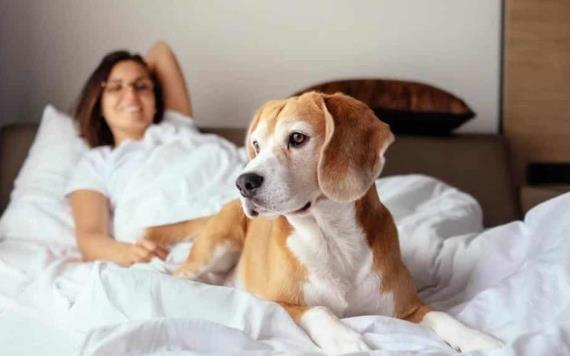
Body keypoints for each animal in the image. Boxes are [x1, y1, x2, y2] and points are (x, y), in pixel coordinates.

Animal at [146, 92, 502, 354]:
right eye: (256, 145)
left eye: (297, 138)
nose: (243, 182)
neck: (331, 237)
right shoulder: (280, 303)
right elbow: (319, 310)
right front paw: (346, 339)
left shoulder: (408, 308)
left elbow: (442, 315)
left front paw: (478, 339)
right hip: (216, 247)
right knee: (178, 275)